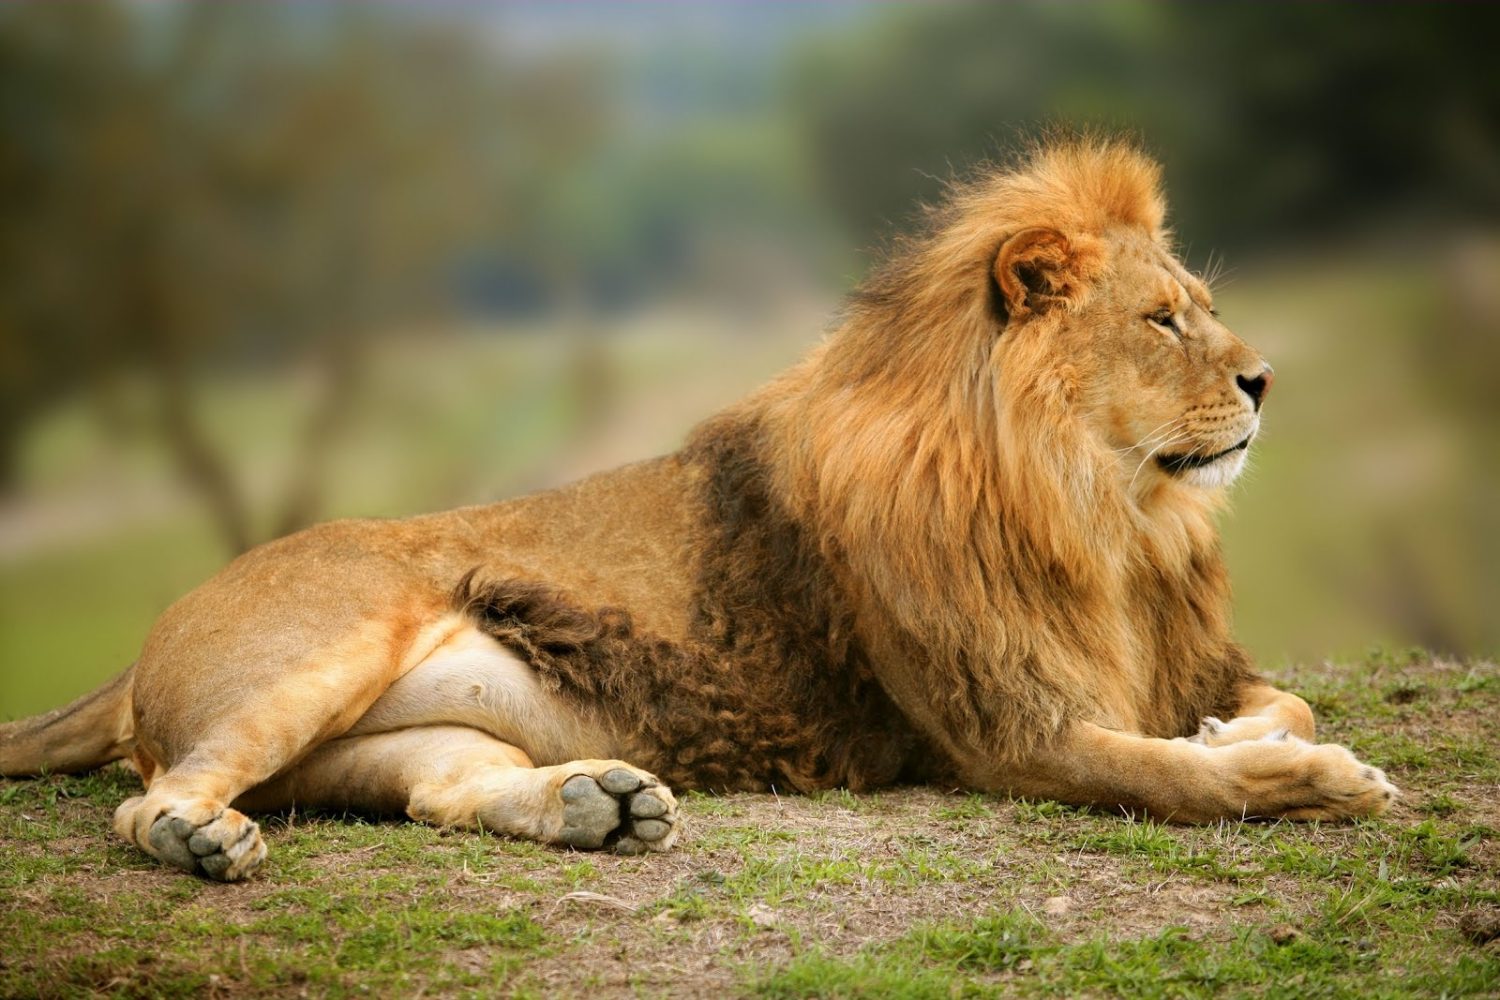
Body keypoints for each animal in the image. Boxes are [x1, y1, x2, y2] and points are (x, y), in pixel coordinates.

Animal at [0, 140, 1395, 881]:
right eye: (1162, 320)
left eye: (1202, 305)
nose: (1267, 379)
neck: (1109, 513)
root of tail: (157, 631)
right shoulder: (1005, 730)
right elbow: (1183, 780)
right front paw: (1317, 778)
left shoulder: (1171, 655)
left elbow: (1270, 703)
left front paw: (1239, 732)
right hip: (324, 646)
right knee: (149, 798)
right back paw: (203, 839)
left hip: (391, 744)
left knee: (438, 790)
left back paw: (600, 805)